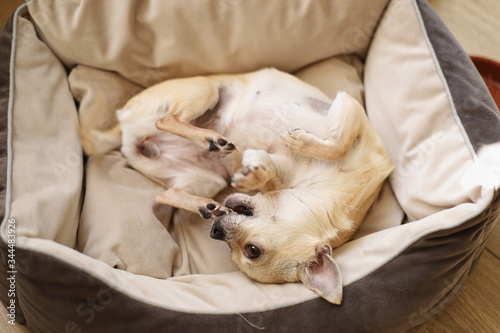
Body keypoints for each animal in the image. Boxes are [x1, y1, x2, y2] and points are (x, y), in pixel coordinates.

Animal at [83, 68, 394, 304]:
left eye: (249, 251)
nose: (215, 231)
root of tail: (122, 129)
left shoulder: (276, 164)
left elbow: (269, 166)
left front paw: (255, 174)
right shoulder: (350, 107)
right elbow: (338, 145)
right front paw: (297, 144)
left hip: (207, 180)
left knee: (164, 193)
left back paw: (204, 204)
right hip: (205, 90)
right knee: (166, 119)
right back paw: (210, 138)